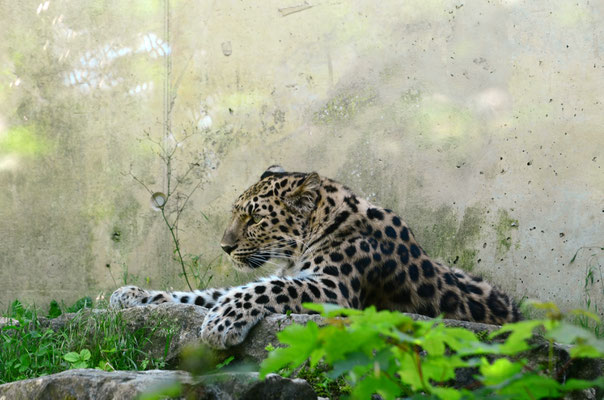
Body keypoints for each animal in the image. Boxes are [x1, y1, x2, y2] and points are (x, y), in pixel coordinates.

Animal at [111, 164, 520, 348]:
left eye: (254, 218)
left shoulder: (333, 289)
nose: (224, 247)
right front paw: (130, 295)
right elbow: (202, 294)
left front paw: (220, 324)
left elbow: (261, 289)